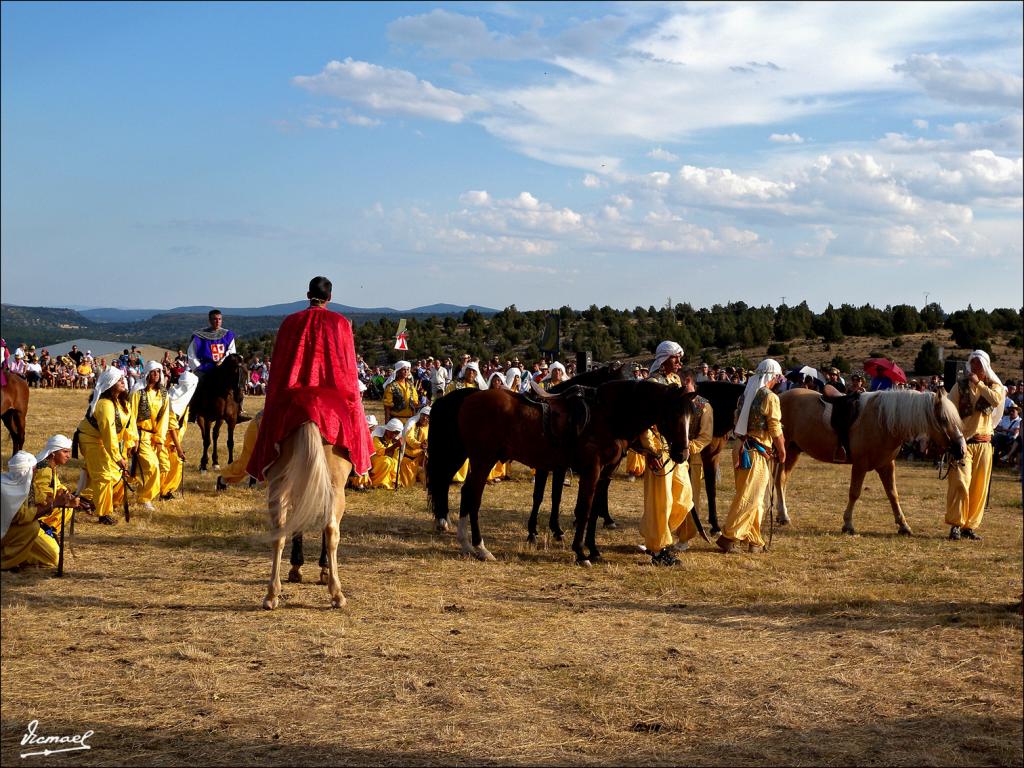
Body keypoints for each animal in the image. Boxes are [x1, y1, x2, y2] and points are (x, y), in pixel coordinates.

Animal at [262, 423, 354, 610]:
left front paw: (296, 569)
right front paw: (323, 570)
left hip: (278, 485)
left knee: (278, 534)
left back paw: (272, 594)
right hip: (335, 488)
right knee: (331, 530)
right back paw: (337, 594)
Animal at [423, 378, 696, 565]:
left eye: (690, 416)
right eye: (672, 415)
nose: (682, 454)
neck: (606, 416)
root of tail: (469, 398)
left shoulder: (604, 473)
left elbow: (594, 511)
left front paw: (593, 550)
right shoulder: (591, 470)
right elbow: (584, 509)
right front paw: (580, 552)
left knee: (464, 492)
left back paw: (466, 544)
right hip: (483, 459)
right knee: (473, 495)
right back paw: (480, 547)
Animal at [778, 391, 962, 536]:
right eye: (944, 419)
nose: (960, 449)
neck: (883, 421)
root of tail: (779, 396)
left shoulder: (886, 465)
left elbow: (893, 494)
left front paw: (903, 526)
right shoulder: (860, 465)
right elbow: (854, 493)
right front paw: (848, 524)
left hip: (793, 451)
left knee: (783, 480)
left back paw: (782, 514)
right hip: (783, 450)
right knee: (779, 480)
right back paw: (783, 515)